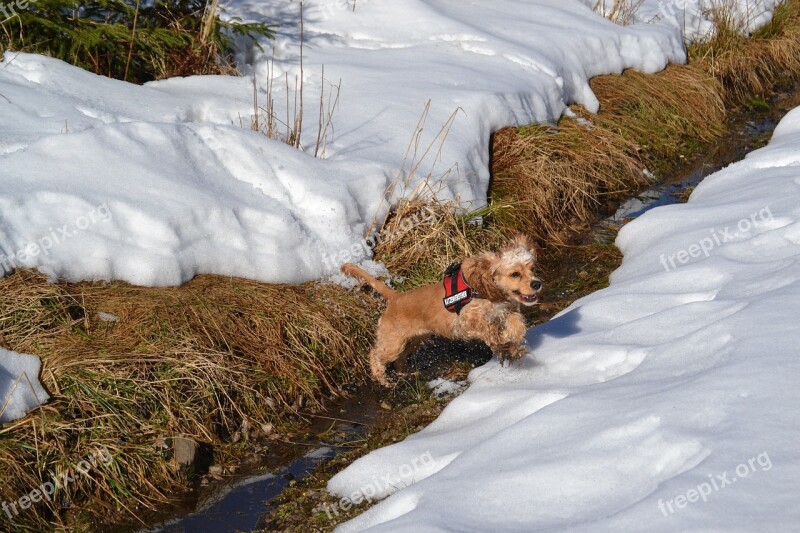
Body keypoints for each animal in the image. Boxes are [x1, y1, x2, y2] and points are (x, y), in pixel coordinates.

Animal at [342, 233, 544, 382]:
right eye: (515, 274)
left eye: (533, 269)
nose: (537, 283)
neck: (483, 290)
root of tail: (396, 297)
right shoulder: (467, 322)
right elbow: (488, 330)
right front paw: (503, 343)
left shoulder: (507, 310)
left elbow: (517, 323)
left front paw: (512, 340)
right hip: (392, 344)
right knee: (375, 353)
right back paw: (381, 378)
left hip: (413, 340)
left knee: (400, 360)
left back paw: (407, 374)